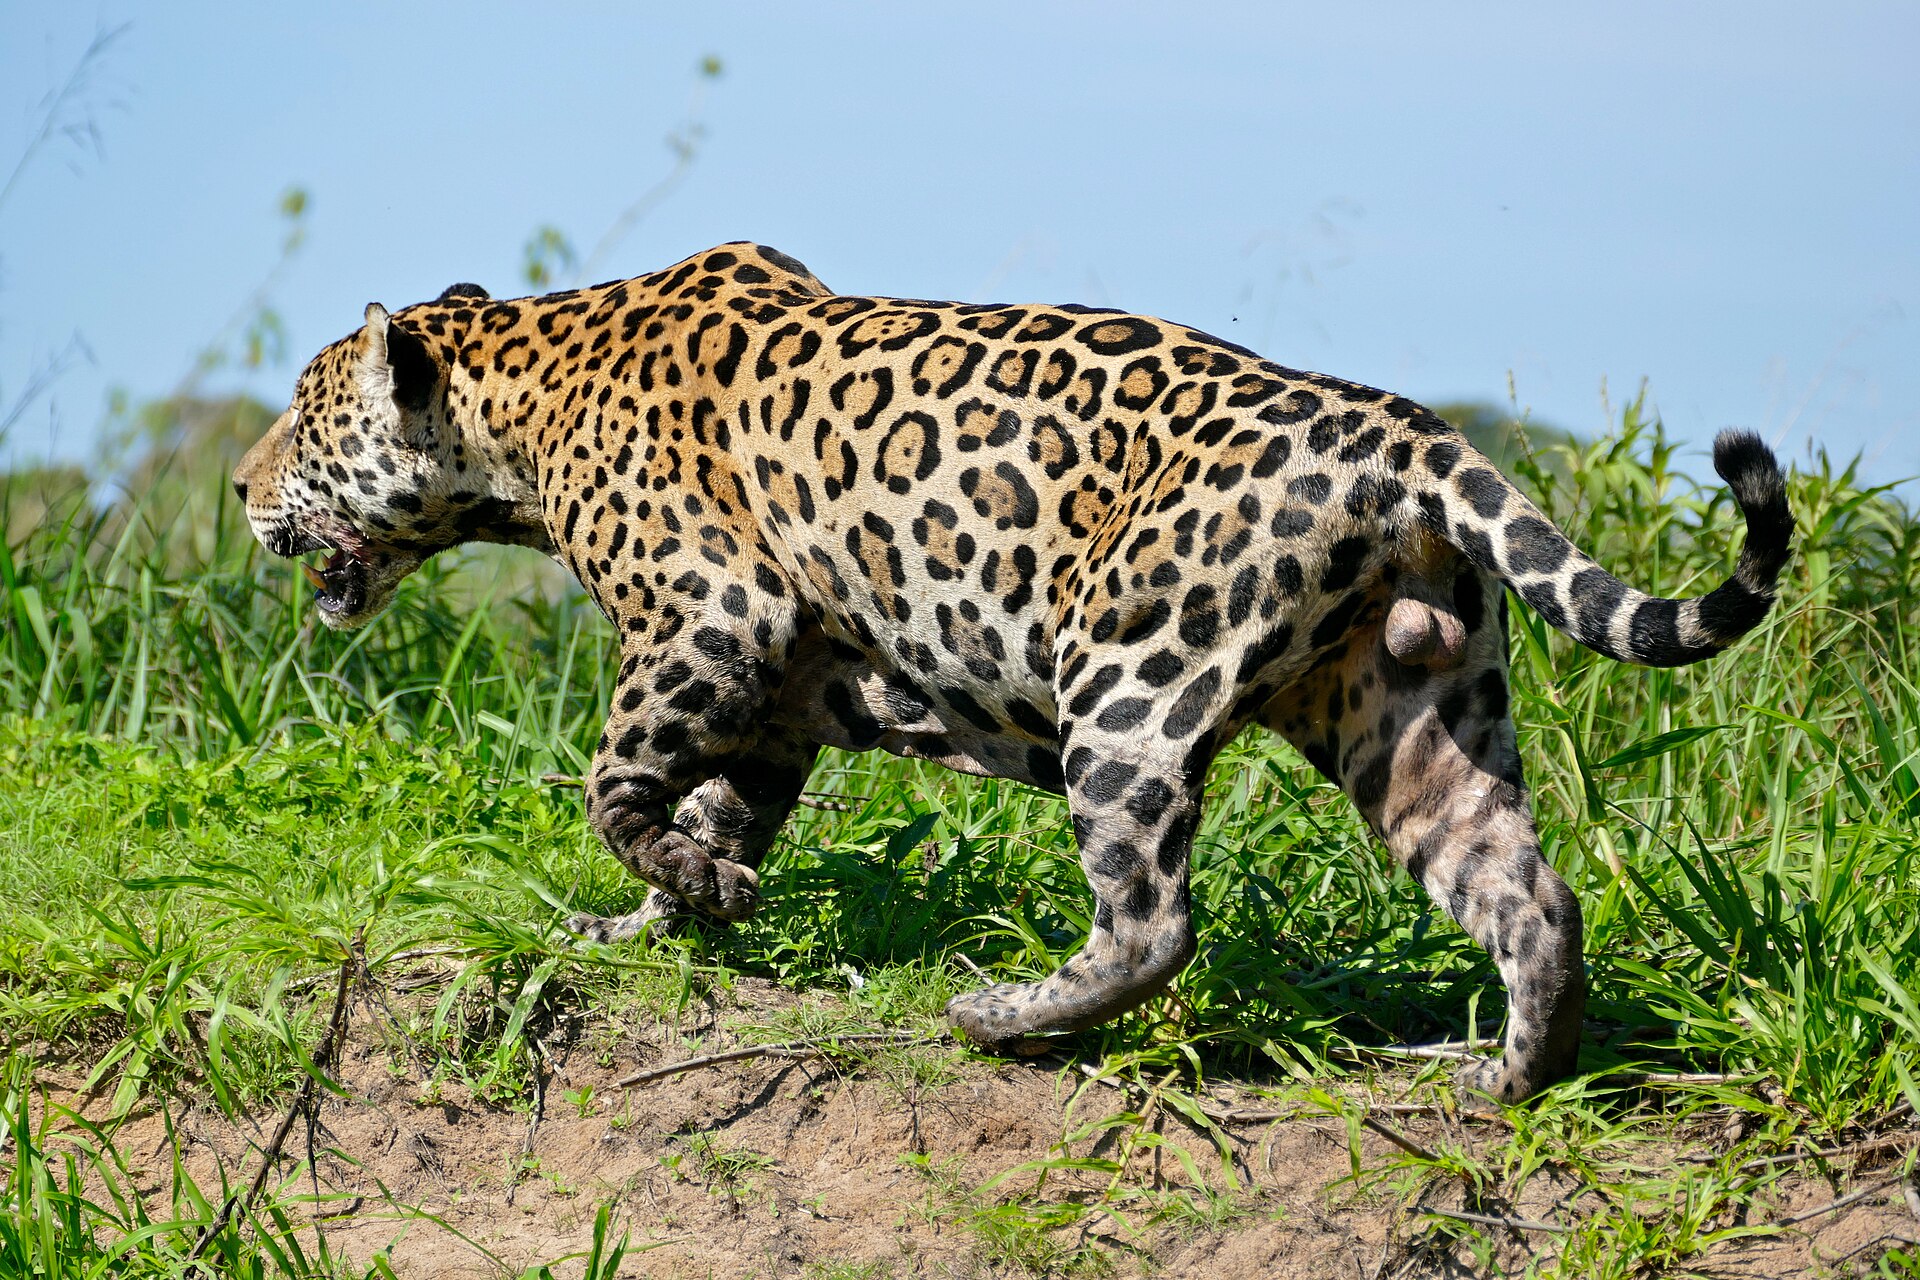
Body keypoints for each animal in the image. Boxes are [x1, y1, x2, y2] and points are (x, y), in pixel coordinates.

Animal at [232, 242, 1793, 1101]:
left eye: (300, 419)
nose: (242, 488)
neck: (521, 393)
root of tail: (1407, 434)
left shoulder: (713, 614)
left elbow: (616, 780)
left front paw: (671, 881)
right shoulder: (775, 693)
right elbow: (716, 806)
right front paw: (672, 911)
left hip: (1127, 676)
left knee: (1155, 920)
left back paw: (1006, 1017)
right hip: (1411, 714)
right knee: (1531, 897)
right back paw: (1501, 1076)